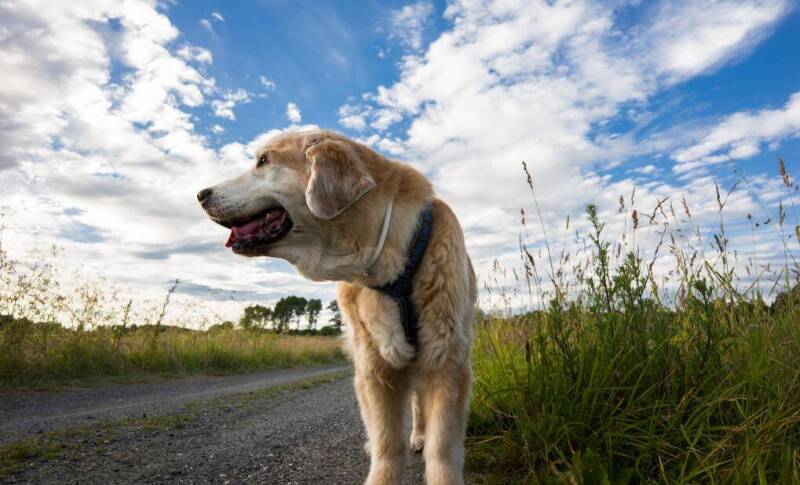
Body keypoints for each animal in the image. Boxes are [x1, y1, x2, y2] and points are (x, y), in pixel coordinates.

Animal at [198, 130, 476, 484]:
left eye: (263, 160)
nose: (200, 194)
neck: (391, 265)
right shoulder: (374, 368)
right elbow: (388, 444)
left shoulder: (446, 361)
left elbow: (441, 450)